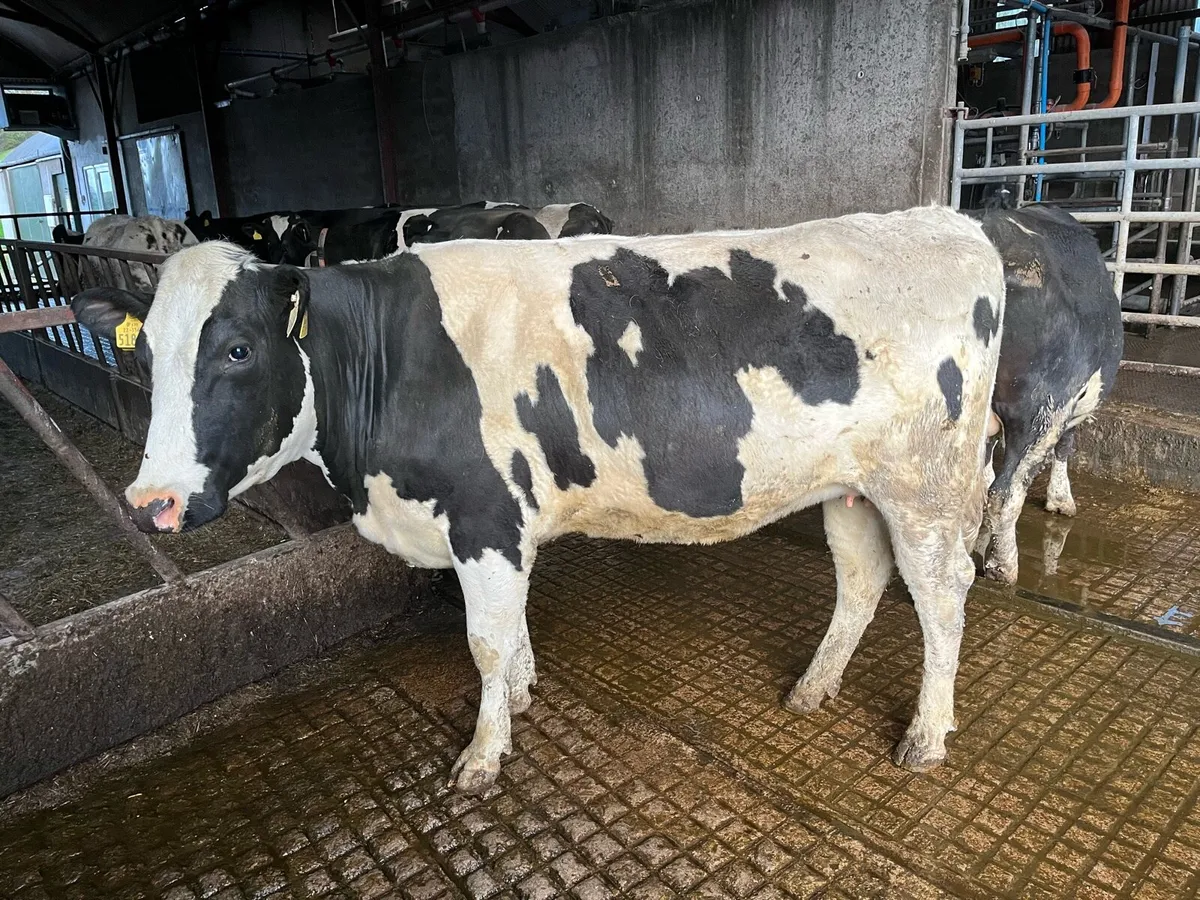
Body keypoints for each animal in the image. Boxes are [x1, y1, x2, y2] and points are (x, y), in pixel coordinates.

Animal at [71, 206, 1005, 794]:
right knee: (861, 578)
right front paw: (520, 697)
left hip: (927, 487)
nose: (152, 502)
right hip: (853, 488)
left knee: (943, 597)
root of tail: (949, 220)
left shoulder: (484, 515)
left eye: (236, 349)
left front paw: (484, 755)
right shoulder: (501, 526)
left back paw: (925, 736)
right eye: (146, 351)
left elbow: (483, 639)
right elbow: (511, 627)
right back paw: (814, 687)